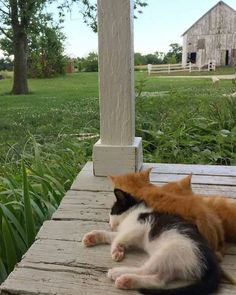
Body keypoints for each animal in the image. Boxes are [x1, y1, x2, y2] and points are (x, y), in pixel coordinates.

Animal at [82, 190, 221, 295]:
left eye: (112, 211)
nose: (109, 224)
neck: (135, 212)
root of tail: (211, 263)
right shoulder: (130, 232)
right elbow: (112, 235)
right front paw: (92, 237)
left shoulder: (139, 227)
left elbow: (118, 238)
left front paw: (116, 250)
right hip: (175, 263)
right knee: (159, 280)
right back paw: (128, 281)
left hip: (170, 251)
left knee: (146, 270)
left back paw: (119, 273)